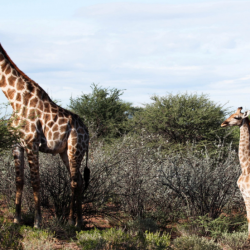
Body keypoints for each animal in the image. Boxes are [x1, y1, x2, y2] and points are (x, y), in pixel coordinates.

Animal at [0, 44, 90, 228]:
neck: (15, 99)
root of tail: (88, 133)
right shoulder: (16, 145)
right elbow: (19, 180)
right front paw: (16, 219)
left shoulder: (31, 143)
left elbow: (35, 181)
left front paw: (37, 222)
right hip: (65, 152)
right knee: (79, 180)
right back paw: (79, 221)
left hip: (75, 149)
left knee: (74, 181)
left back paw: (71, 221)